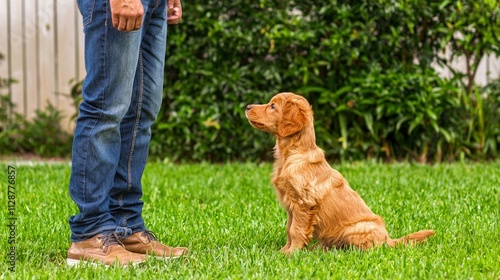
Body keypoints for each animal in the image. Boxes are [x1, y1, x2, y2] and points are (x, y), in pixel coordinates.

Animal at [245, 92, 434, 254]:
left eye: (272, 106)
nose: (247, 106)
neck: (292, 155)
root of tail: (389, 239)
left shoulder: (304, 203)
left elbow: (296, 230)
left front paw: (291, 253)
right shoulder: (292, 206)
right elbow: (289, 228)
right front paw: (284, 251)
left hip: (359, 227)